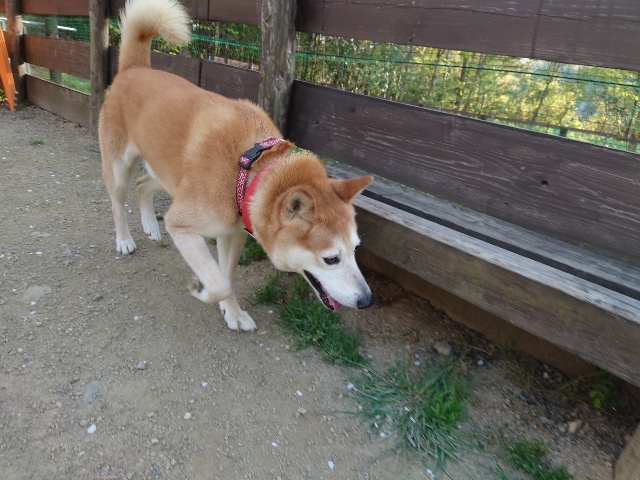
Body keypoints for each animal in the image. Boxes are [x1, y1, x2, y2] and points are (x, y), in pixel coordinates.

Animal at [100, 0, 373, 331]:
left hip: (167, 176)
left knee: (142, 185)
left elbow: (227, 276)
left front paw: (232, 312)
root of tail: (134, 68)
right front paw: (203, 290)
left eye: (355, 250)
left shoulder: (233, 234)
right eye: (331, 258)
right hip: (118, 169)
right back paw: (125, 240)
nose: (367, 301)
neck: (247, 169)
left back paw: (151, 225)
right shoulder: (181, 224)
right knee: (117, 202)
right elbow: (219, 282)